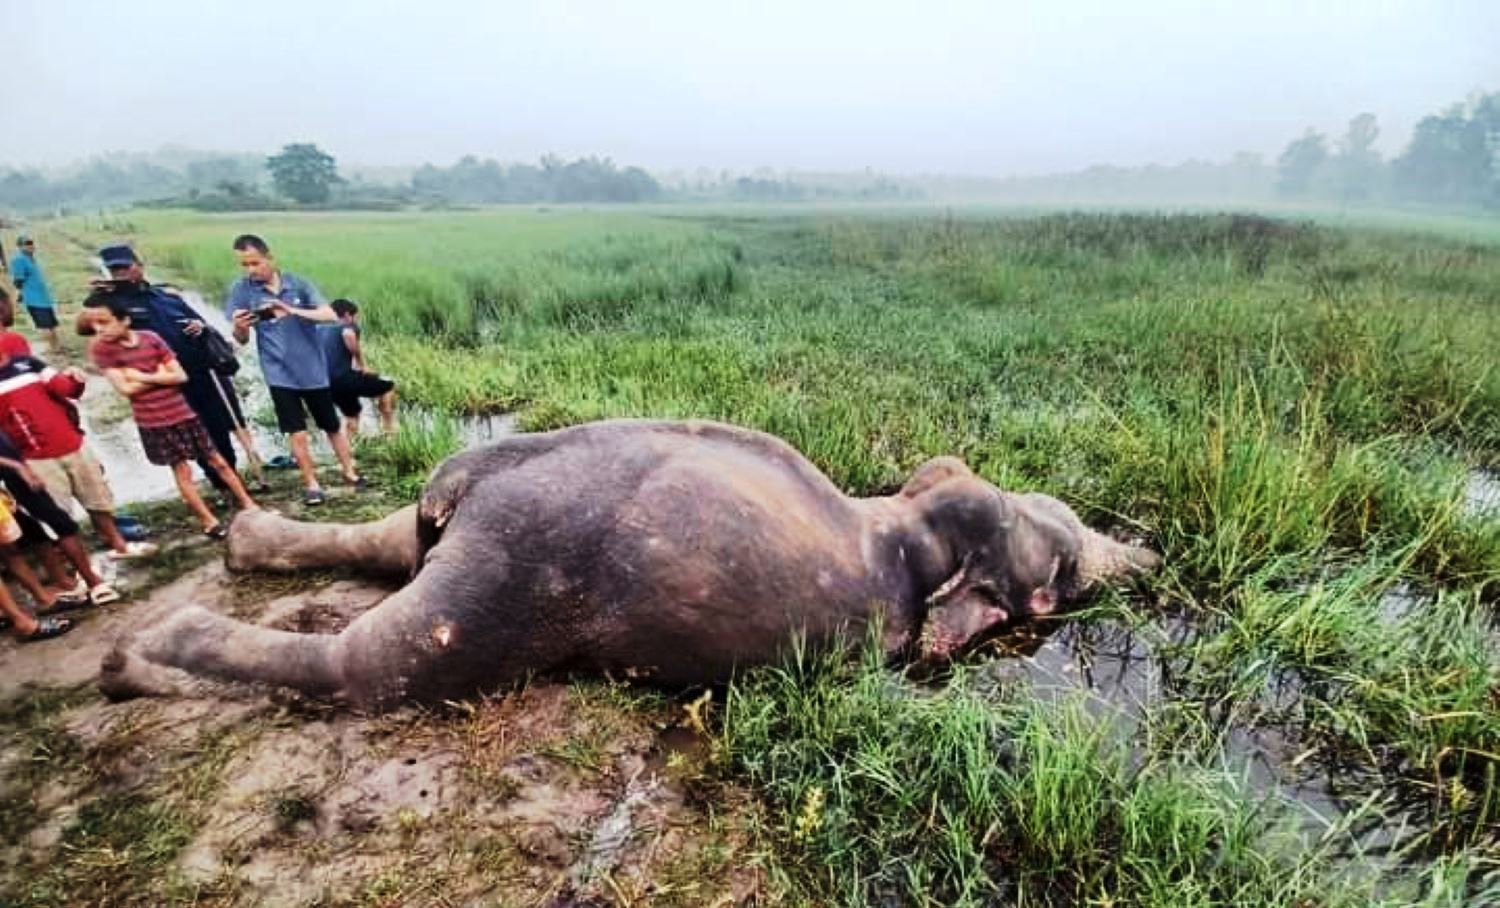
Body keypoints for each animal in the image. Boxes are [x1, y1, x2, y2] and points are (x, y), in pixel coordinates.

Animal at [99, 417, 1158, 708]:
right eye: (1063, 570)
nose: (1144, 553)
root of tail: (467, 480)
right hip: (502, 568)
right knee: (372, 647)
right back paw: (152, 642)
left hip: (477, 561)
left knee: (382, 589)